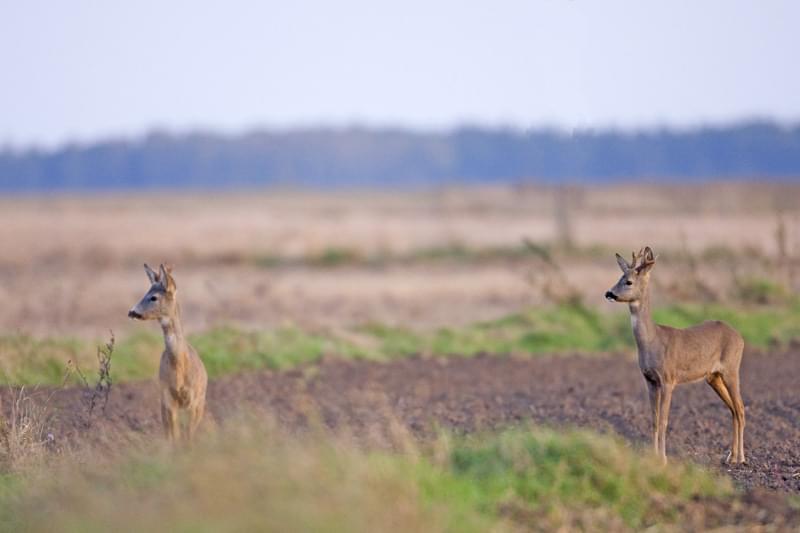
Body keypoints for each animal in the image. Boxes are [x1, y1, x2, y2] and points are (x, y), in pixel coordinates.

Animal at [604, 247, 748, 464]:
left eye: (628, 281)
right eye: (619, 277)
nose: (608, 293)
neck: (652, 340)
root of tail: (739, 336)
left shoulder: (668, 379)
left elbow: (664, 420)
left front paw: (663, 459)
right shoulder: (650, 380)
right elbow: (654, 420)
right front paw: (652, 457)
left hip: (731, 369)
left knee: (740, 408)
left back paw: (739, 458)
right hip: (713, 376)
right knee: (732, 409)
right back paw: (730, 456)